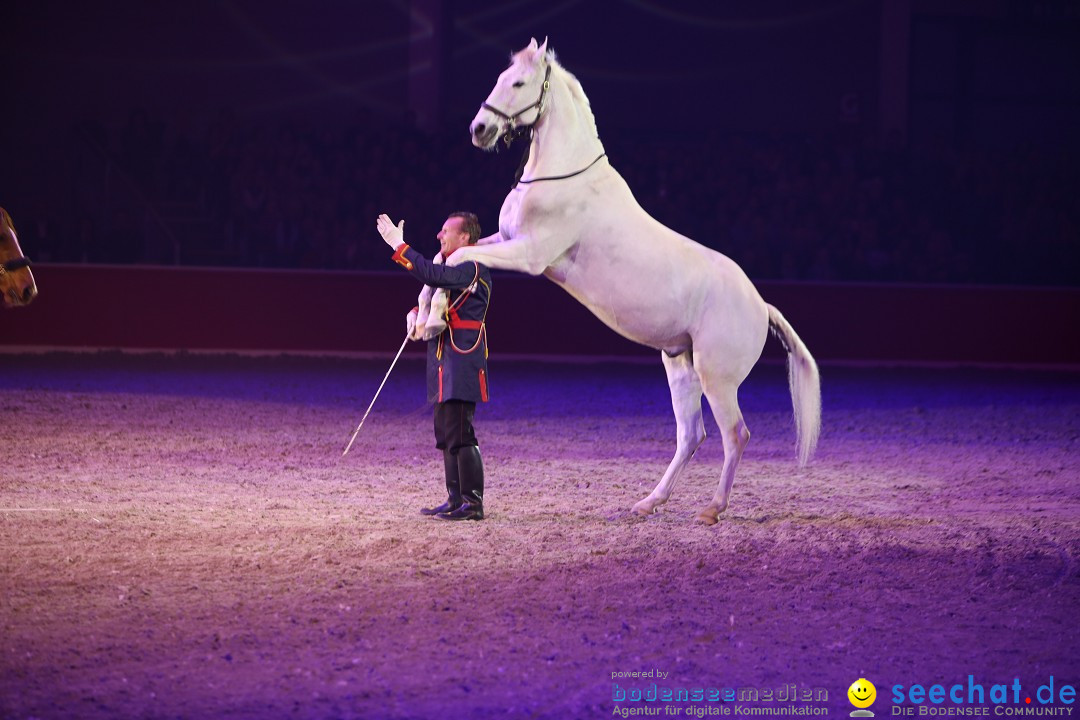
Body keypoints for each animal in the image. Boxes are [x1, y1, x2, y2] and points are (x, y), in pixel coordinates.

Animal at [440, 39, 816, 524]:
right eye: (501, 79)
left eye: (519, 83)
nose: (479, 129)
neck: (564, 177)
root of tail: (760, 305)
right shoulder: (505, 239)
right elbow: (454, 253)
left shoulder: (528, 255)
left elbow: (460, 256)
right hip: (680, 367)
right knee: (691, 436)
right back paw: (649, 502)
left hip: (717, 378)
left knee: (736, 434)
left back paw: (712, 509)